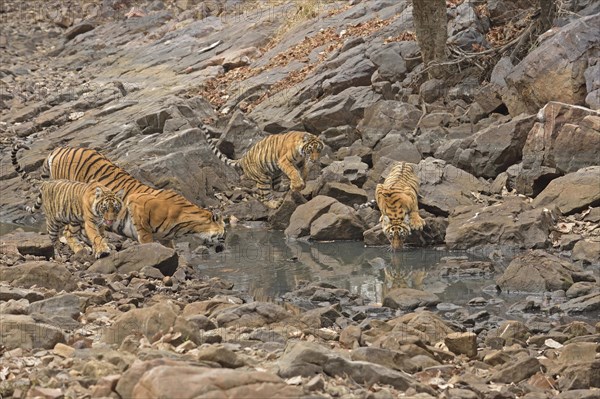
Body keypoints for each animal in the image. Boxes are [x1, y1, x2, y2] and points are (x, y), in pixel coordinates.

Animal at [11, 144, 227, 250]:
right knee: (67, 230)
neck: (186, 225)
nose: (223, 247)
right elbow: (147, 242)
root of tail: (58, 149)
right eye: (223, 234)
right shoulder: (140, 211)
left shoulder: (166, 237)